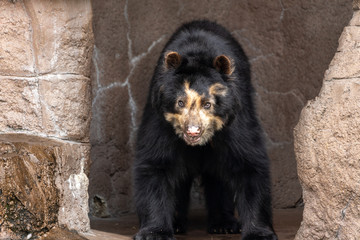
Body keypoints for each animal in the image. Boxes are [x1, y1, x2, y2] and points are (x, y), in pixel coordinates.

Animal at [134, 20, 278, 240]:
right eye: (180, 102)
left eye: (208, 104)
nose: (193, 131)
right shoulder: (160, 120)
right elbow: (156, 163)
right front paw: (155, 232)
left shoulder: (236, 119)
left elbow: (249, 163)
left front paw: (259, 233)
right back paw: (178, 224)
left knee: (218, 179)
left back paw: (223, 224)